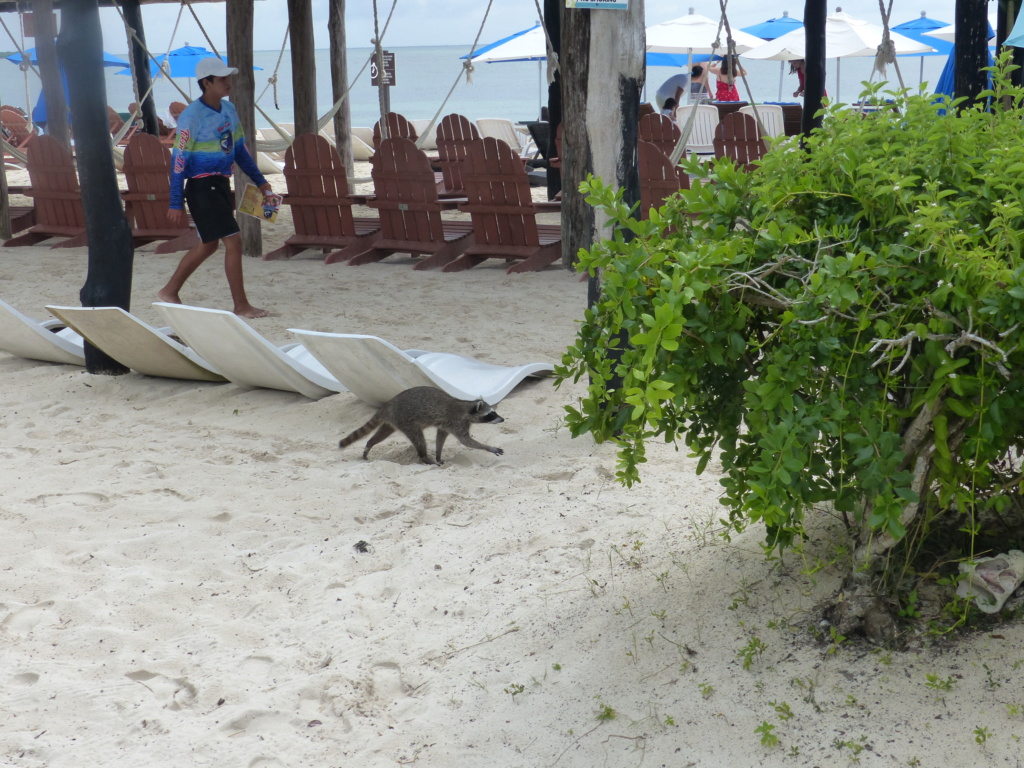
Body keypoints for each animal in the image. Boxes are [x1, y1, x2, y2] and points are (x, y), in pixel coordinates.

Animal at [342, 387, 505, 466]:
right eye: (491, 414)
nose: (502, 419)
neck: (466, 407)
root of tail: (388, 405)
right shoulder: (456, 423)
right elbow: (467, 442)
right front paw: (489, 448)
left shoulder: (446, 426)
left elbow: (440, 437)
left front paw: (439, 454)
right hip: (407, 421)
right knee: (419, 439)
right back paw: (425, 458)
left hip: (393, 422)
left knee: (382, 434)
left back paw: (369, 444)